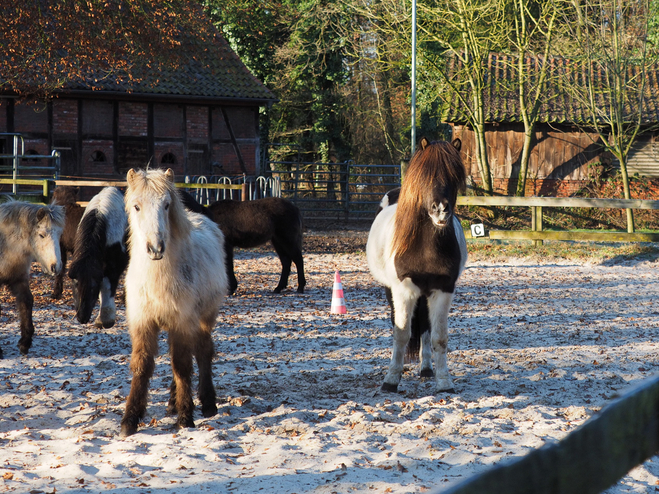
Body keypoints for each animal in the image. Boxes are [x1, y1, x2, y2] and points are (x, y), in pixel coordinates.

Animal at [67, 187, 129, 330]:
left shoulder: (113, 266)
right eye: (75, 285)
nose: (82, 318)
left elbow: (106, 287)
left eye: (92, 288)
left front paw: (105, 319)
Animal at [121, 169, 229, 436]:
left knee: (202, 352)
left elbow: (182, 366)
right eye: (136, 206)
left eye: (167, 205)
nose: (155, 248)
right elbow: (142, 366)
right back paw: (172, 403)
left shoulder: (182, 322)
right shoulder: (143, 322)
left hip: (204, 317)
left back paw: (207, 403)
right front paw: (129, 420)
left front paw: (185, 417)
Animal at [366, 139, 470, 394]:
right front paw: (391, 380)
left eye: (454, 175)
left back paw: (426, 369)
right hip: (392, 291)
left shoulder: (443, 289)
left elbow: (439, 337)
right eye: (425, 177)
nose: (440, 209)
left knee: (425, 328)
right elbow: (402, 333)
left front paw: (444, 382)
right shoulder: (403, 289)